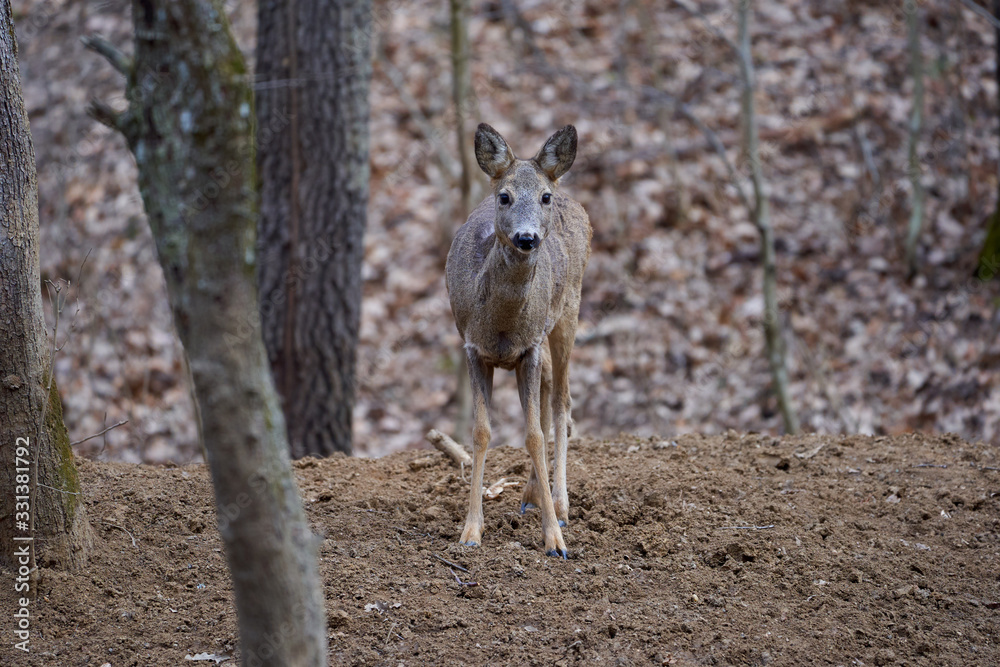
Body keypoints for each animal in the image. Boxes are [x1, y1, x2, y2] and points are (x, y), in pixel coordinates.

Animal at [446, 125, 592, 560]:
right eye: (504, 196)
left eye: (543, 197)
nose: (526, 238)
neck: (503, 326)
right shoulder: (474, 348)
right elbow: (482, 432)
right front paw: (471, 531)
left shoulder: (528, 346)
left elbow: (533, 435)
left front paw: (555, 539)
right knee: (548, 395)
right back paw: (531, 495)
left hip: (567, 313)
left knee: (562, 401)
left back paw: (558, 504)